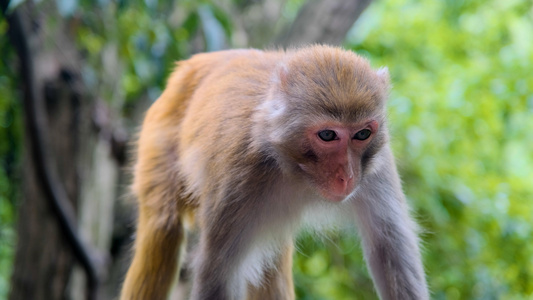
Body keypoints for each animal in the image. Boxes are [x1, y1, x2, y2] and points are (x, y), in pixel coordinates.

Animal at [119, 45, 428, 300]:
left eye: (362, 134)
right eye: (328, 135)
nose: (348, 176)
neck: (295, 172)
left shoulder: (377, 169)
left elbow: (391, 252)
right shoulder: (240, 178)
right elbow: (218, 275)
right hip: (158, 135)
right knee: (163, 228)